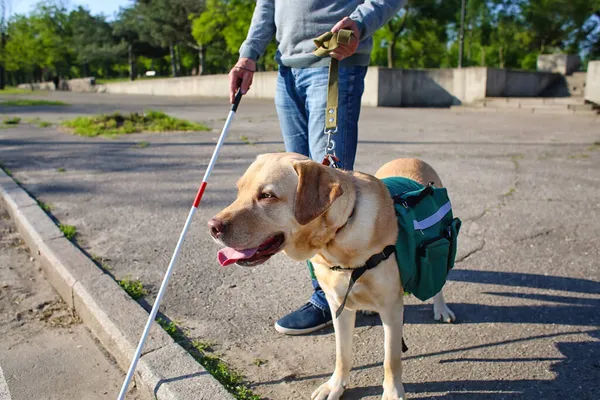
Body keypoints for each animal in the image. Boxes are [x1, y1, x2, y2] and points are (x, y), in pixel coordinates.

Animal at [210, 152, 454, 398]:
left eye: (267, 195)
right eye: (239, 190)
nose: (212, 226)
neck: (336, 240)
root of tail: (412, 158)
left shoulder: (392, 308)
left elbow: (391, 359)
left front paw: (393, 393)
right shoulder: (339, 305)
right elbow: (342, 354)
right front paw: (335, 386)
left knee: (439, 284)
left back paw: (441, 309)